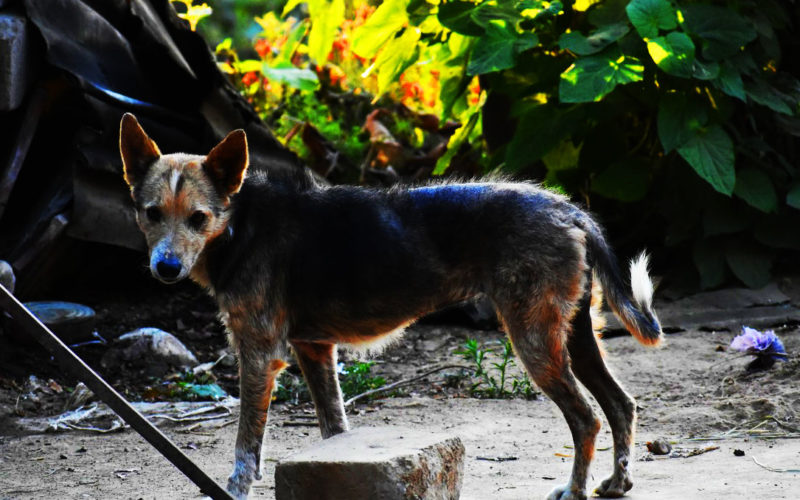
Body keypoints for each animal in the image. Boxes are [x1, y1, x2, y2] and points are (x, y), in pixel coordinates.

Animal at [120, 113, 664, 500]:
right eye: (151, 214)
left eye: (198, 217)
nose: (165, 267)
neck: (240, 223)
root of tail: (568, 209)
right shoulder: (314, 350)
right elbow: (334, 429)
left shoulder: (259, 355)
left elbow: (245, 446)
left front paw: (234, 490)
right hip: (574, 336)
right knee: (620, 404)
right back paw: (616, 483)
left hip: (534, 340)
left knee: (587, 418)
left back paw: (574, 489)